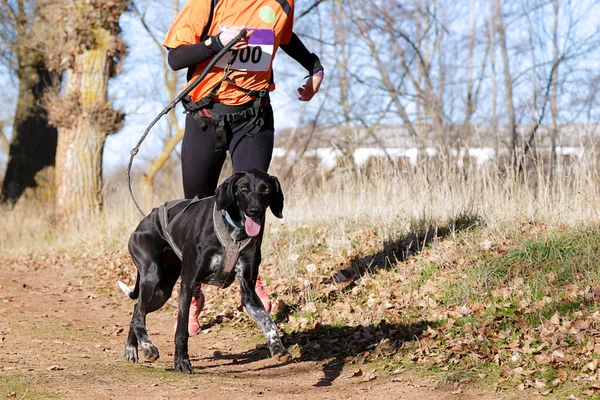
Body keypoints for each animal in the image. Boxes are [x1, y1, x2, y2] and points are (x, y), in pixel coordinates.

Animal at [117, 170, 290, 374]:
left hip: (162, 293)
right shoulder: (188, 283)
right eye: (243, 187)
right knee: (139, 313)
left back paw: (132, 348)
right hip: (151, 276)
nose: (255, 211)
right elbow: (181, 331)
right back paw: (147, 346)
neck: (234, 231)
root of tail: (143, 222)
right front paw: (181, 362)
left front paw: (277, 346)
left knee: (137, 310)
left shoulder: (248, 290)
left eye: (266, 189)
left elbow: (268, 321)